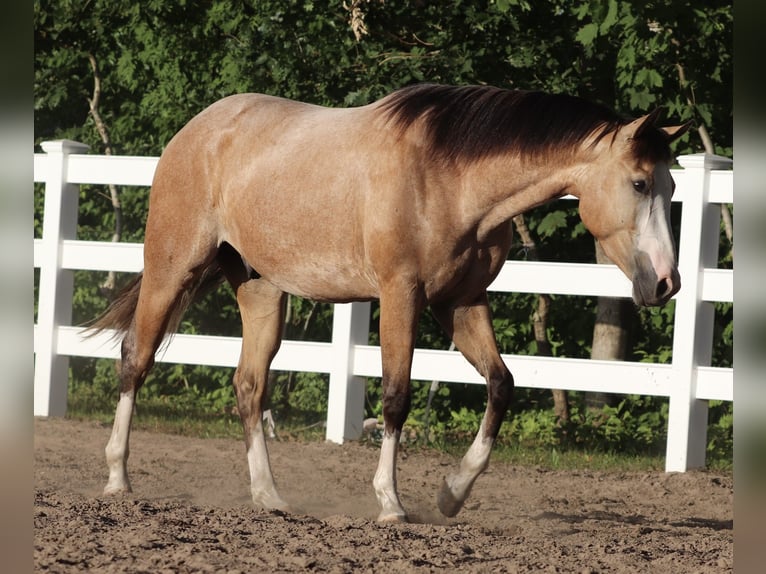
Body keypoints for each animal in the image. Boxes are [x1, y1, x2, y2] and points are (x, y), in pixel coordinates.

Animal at [89, 83, 690, 522]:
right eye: (639, 184)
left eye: (672, 189)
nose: (667, 282)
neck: (450, 178)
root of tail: (196, 130)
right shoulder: (402, 295)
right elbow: (397, 397)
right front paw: (391, 503)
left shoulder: (462, 302)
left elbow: (501, 385)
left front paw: (452, 493)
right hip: (172, 270)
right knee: (135, 360)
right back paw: (117, 478)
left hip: (262, 291)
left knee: (250, 387)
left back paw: (269, 496)